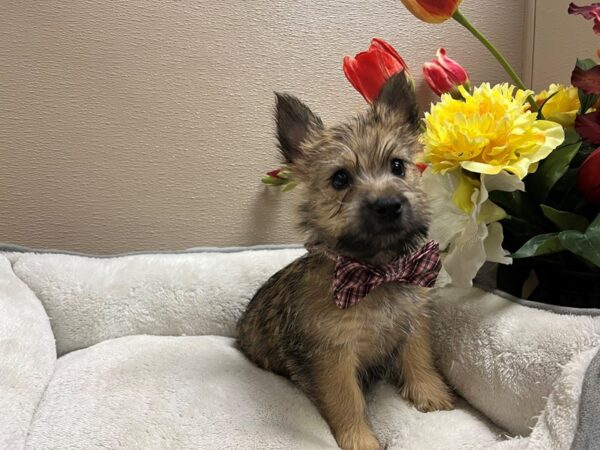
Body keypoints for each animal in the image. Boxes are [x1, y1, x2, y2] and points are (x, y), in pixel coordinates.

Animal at [237, 74, 452, 450]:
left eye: (397, 166)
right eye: (340, 178)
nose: (388, 205)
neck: (377, 272)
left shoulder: (413, 324)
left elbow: (419, 359)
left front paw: (432, 396)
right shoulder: (332, 355)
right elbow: (346, 399)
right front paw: (360, 439)